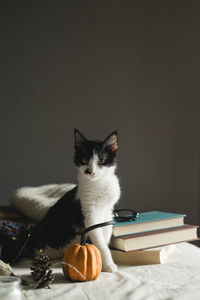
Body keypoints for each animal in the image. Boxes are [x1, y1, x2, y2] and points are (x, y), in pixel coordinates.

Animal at [23, 129, 120, 272]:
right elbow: (100, 241)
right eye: (84, 160)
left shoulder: (107, 212)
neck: (98, 183)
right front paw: (108, 264)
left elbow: (105, 235)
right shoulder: (90, 216)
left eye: (101, 161)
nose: (91, 172)